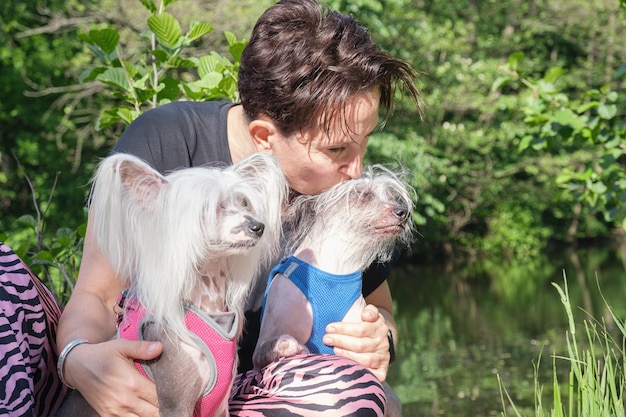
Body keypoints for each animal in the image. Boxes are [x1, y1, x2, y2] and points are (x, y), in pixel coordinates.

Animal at [56, 153, 286, 416]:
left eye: (244, 203)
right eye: (212, 207)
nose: (258, 226)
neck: (207, 304)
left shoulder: (220, 407)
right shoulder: (176, 403)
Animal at [251, 165, 412, 368]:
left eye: (392, 197)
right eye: (364, 195)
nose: (403, 212)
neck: (335, 273)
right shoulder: (260, 349)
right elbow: (271, 347)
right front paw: (286, 345)